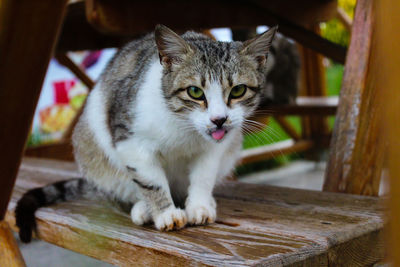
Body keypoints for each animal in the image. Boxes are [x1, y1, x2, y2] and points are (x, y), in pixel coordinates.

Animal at [16, 25, 278, 243]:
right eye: (194, 91)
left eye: (238, 90)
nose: (219, 119)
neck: (183, 125)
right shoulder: (130, 140)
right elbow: (152, 181)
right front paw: (165, 214)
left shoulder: (215, 147)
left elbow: (203, 176)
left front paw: (199, 206)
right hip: (90, 147)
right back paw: (142, 208)